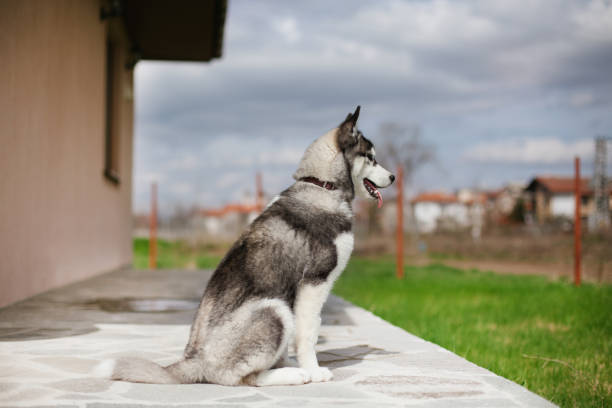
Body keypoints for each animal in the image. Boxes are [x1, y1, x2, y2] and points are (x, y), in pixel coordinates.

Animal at [98, 105, 394, 386]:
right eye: (371, 157)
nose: (392, 177)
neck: (323, 186)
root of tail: (194, 361)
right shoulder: (315, 283)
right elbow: (309, 334)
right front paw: (313, 370)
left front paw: (292, 363)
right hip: (274, 309)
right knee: (241, 378)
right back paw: (291, 375)